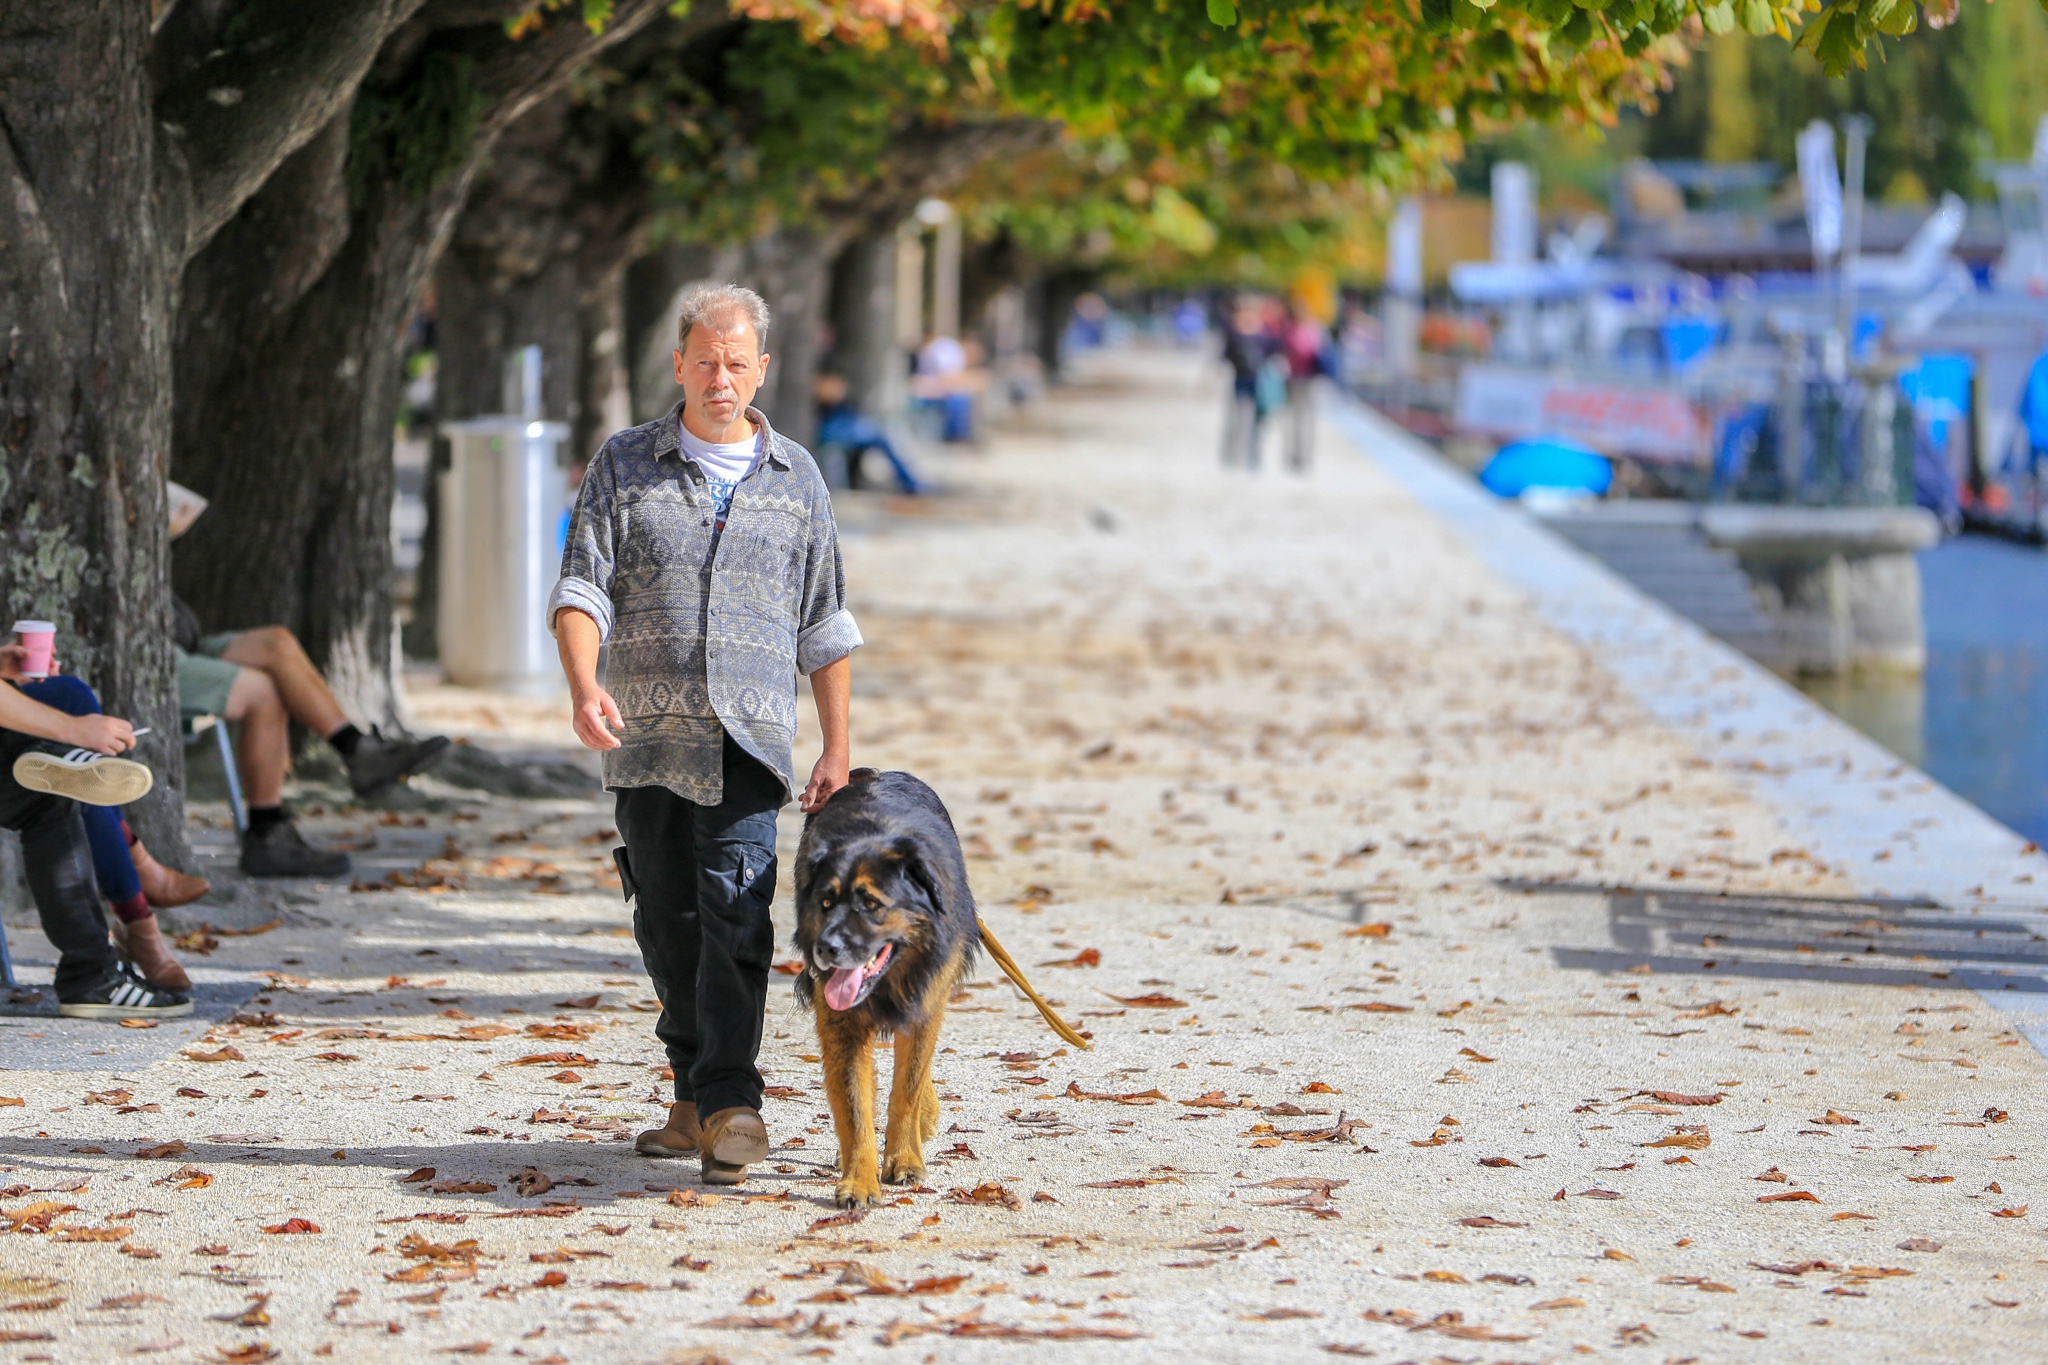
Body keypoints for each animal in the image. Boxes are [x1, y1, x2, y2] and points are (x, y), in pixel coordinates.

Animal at [790, 769, 974, 1203]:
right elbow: (854, 1106)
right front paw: (859, 1177)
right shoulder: (840, 1024)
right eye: (825, 903)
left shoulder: (926, 1005)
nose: (825, 949)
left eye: (870, 904)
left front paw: (904, 1158)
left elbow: (906, 1091)